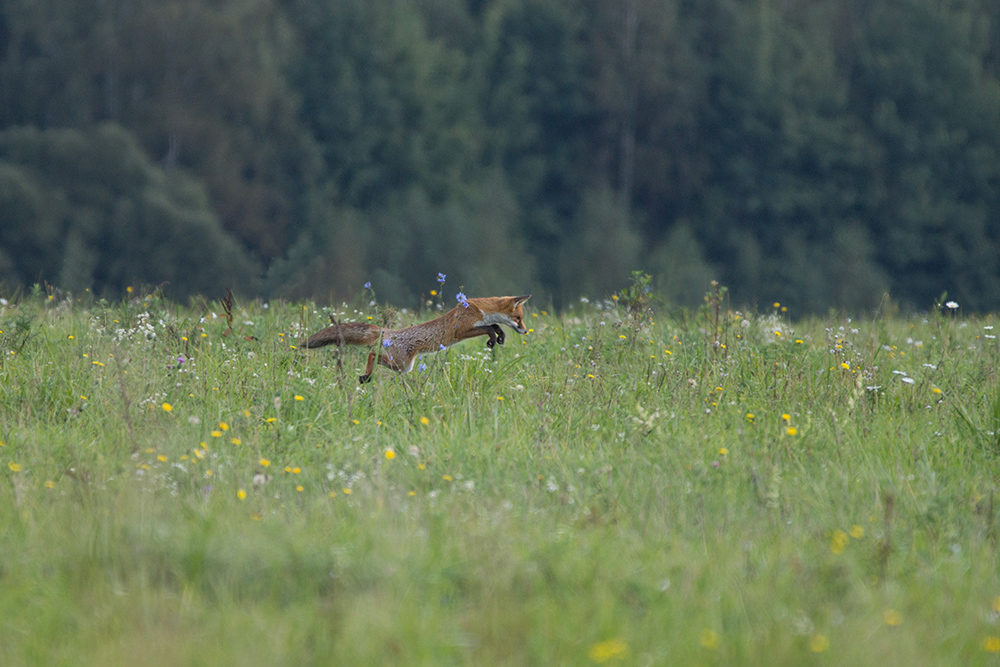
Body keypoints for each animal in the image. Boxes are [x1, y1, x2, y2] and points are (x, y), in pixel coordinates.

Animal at [302, 296, 532, 384]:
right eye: (518, 318)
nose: (525, 331)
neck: (481, 309)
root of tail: (389, 331)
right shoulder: (462, 331)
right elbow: (488, 328)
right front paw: (493, 338)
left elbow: (494, 326)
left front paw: (500, 336)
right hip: (402, 365)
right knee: (372, 353)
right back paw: (366, 375)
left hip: (403, 366)